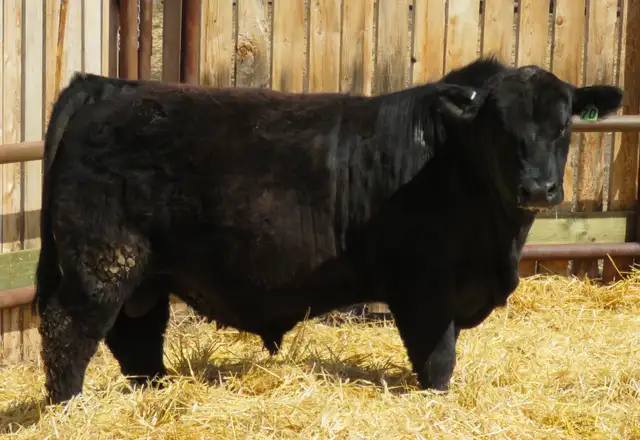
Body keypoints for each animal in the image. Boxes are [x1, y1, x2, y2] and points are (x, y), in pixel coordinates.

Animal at [34, 57, 623, 405]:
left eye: (565, 124)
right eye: (499, 125)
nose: (539, 188)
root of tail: (106, 86)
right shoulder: (424, 288)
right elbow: (437, 357)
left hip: (146, 273)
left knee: (135, 338)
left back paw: (158, 393)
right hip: (102, 260)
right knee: (68, 331)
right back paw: (69, 407)